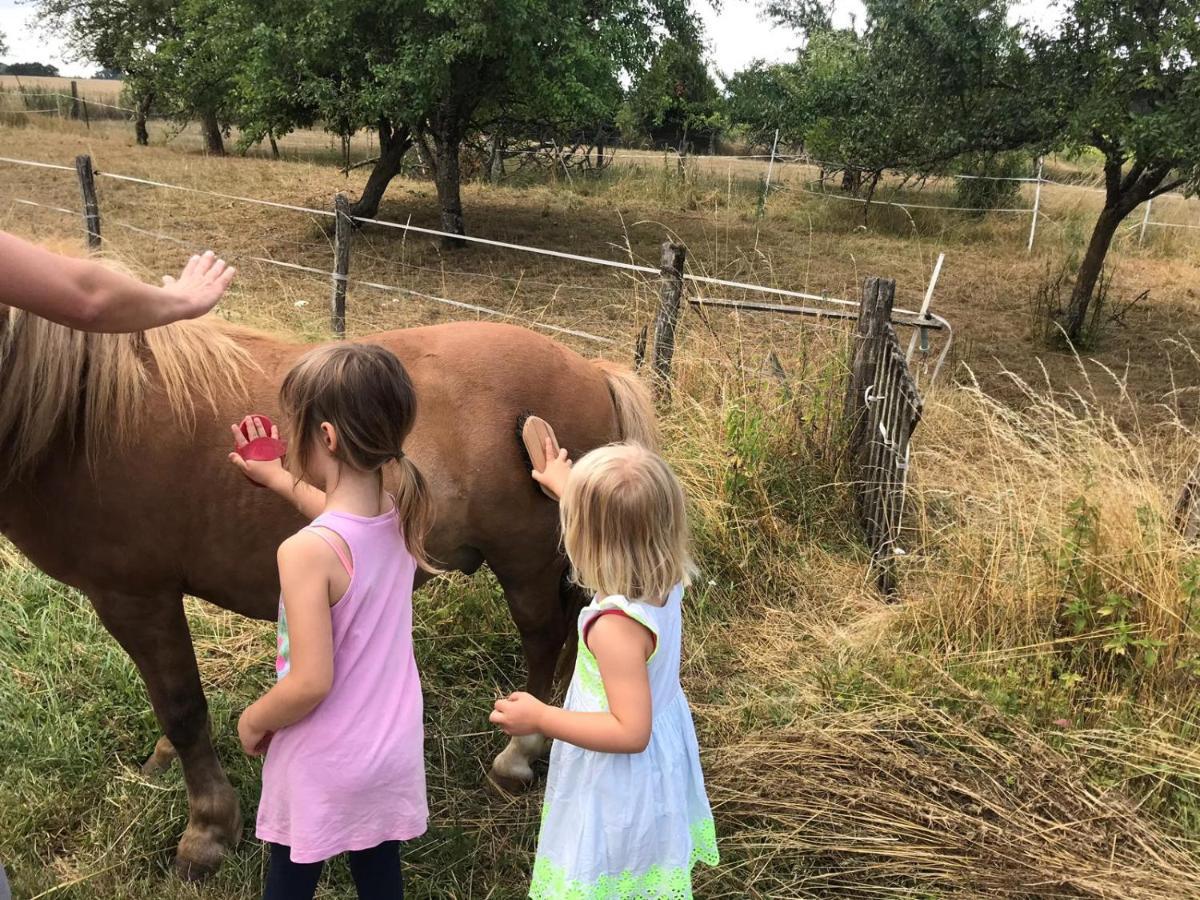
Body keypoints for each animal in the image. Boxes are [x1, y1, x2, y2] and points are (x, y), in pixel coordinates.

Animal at [0, 309, 657, 883]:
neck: (85, 413)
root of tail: (591, 370)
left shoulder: (135, 596)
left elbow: (182, 708)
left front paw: (207, 830)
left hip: (526, 564)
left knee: (545, 638)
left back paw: (520, 754)